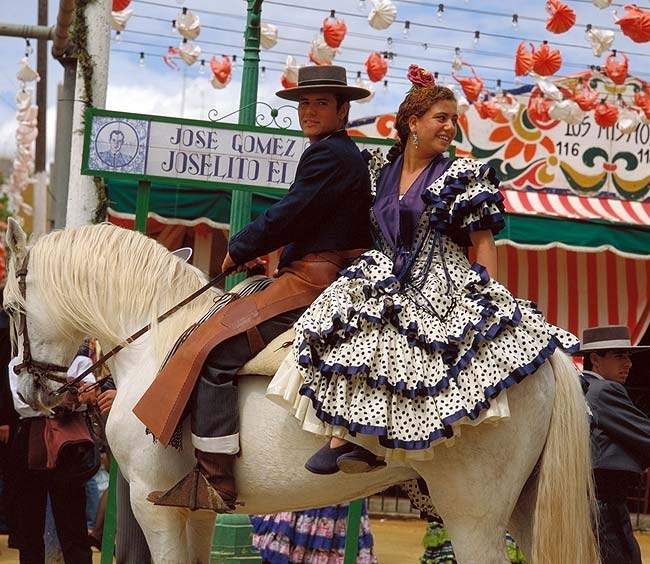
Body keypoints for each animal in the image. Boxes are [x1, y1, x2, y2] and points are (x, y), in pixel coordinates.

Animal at [3, 220, 596, 564]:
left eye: (10, 309)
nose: (27, 391)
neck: (154, 340)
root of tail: (547, 355)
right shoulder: (195, 509)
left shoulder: (154, 504)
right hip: (524, 508)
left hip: (473, 514)